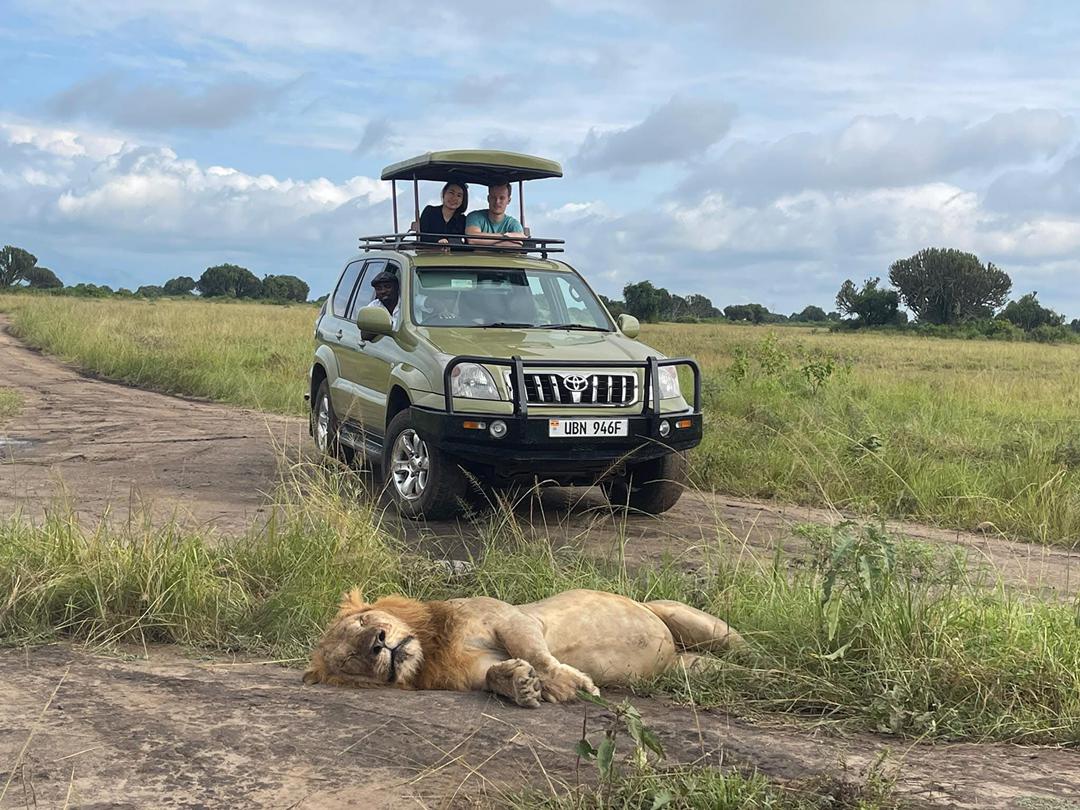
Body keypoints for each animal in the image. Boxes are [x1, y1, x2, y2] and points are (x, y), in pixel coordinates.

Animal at [304, 587, 743, 708]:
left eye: (363, 623)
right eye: (350, 658)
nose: (377, 644)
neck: (433, 648)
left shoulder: (511, 619)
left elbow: (535, 653)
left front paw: (570, 685)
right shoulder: (473, 672)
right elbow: (494, 675)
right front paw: (520, 685)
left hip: (686, 618)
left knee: (743, 647)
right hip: (688, 668)